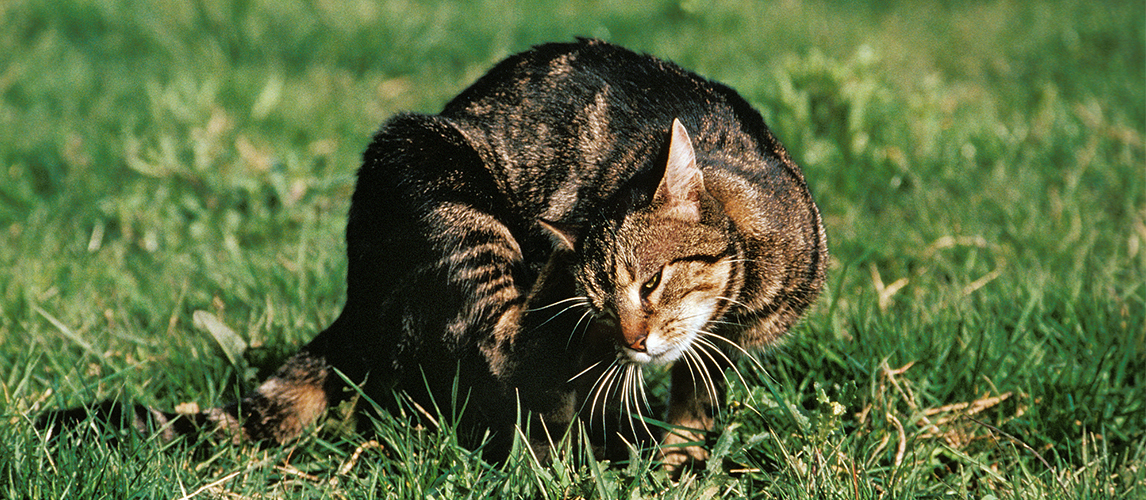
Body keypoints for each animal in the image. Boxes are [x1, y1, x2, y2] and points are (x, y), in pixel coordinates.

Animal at [38, 38, 825, 472]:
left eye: (654, 280)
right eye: (600, 306)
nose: (630, 341)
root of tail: (352, 300)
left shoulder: (727, 345)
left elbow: (700, 390)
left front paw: (682, 454)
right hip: (439, 180)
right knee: (499, 352)